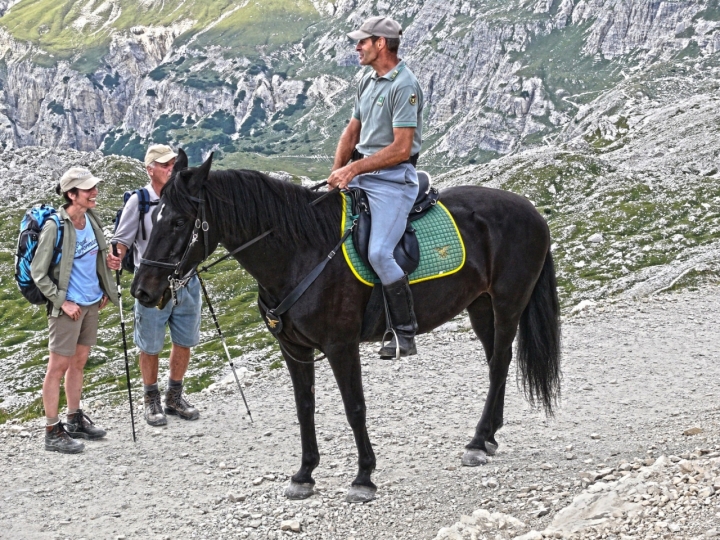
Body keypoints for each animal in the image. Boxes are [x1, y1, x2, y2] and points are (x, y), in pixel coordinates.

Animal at [134, 151, 564, 502]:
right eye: (151, 218)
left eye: (178, 221)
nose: (143, 290)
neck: (301, 254)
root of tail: (531, 210)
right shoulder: (294, 349)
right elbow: (304, 407)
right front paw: (304, 474)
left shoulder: (341, 346)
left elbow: (354, 408)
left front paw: (363, 478)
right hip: (480, 306)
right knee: (496, 362)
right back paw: (488, 436)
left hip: (508, 302)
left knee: (500, 362)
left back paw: (476, 441)